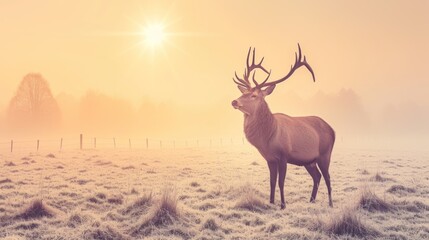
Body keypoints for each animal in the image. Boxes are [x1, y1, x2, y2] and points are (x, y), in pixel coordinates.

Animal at [231, 44, 334, 209]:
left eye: (254, 95)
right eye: (244, 92)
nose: (234, 101)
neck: (268, 137)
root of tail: (332, 129)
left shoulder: (284, 155)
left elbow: (281, 182)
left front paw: (283, 205)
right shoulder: (270, 158)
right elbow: (272, 181)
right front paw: (271, 202)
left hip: (325, 154)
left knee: (328, 177)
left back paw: (330, 203)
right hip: (309, 160)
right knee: (317, 176)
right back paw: (311, 200)